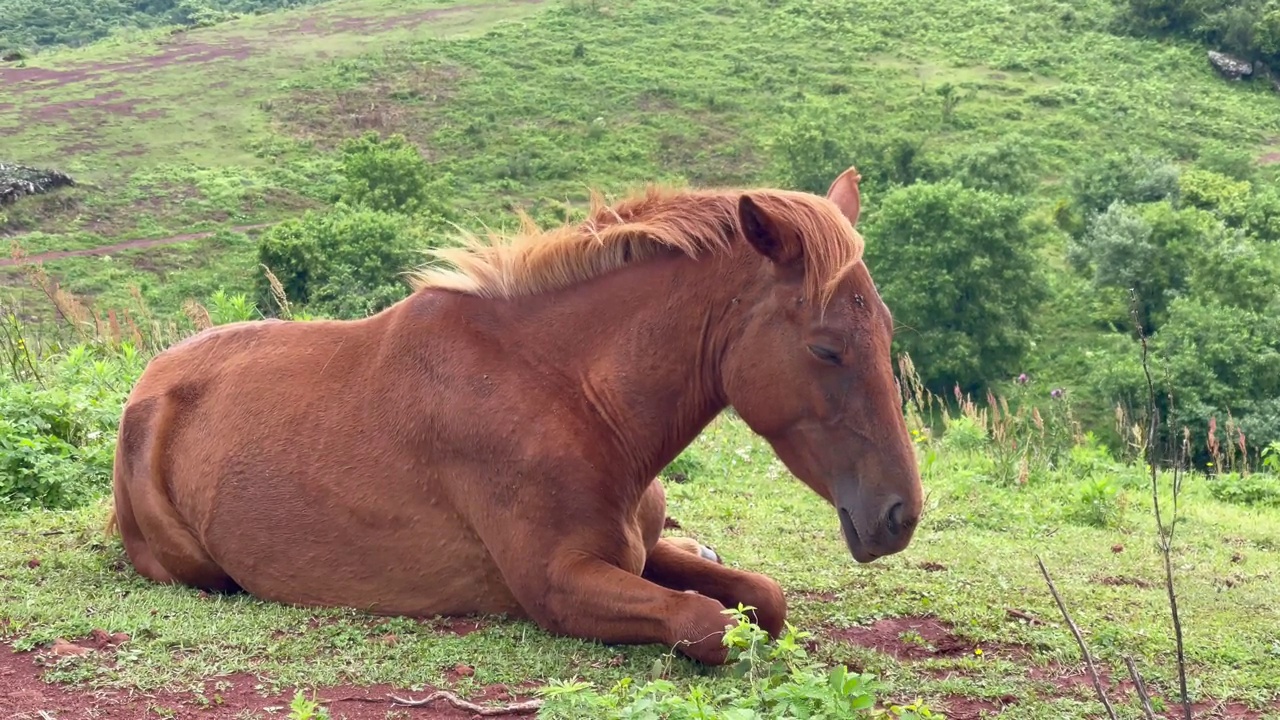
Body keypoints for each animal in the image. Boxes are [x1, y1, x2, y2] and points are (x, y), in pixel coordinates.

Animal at [102, 165, 921, 666]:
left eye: (885, 329)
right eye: (825, 348)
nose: (898, 516)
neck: (571, 400)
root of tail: (151, 387)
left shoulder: (632, 553)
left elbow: (766, 599)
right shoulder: (561, 585)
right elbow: (709, 624)